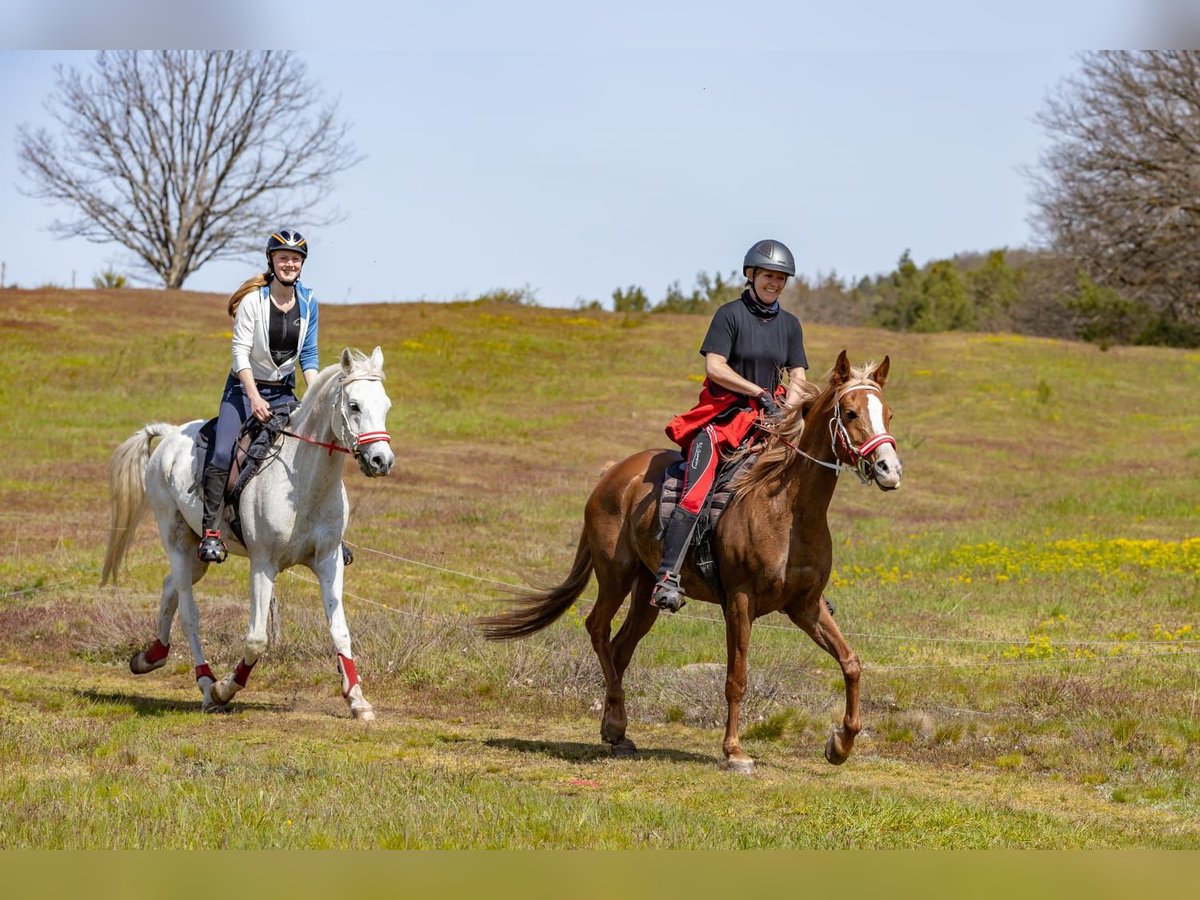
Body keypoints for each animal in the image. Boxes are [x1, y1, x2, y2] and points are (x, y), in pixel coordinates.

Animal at [103, 348, 393, 724]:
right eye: (354, 405)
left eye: (385, 405)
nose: (381, 460)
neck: (304, 482)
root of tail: (170, 434)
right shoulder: (263, 564)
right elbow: (256, 638)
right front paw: (225, 689)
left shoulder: (329, 561)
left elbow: (340, 631)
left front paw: (357, 700)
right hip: (177, 540)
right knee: (189, 613)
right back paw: (206, 685)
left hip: (197, 553)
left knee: (170, 589)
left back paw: (151, 657)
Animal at [477, 352, 902, 777]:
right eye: (850, 413)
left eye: (889, 414)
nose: (889, 470)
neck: (786, 508)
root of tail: (612, 474)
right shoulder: (740, 602)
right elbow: (736, 678)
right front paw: (734, 752)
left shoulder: (805, 606)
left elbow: (851, 662)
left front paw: (841, 745)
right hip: (615, 574)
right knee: (597, 628)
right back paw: (615, 725)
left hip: (646, 590)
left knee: (620, 648)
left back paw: (617, 731)